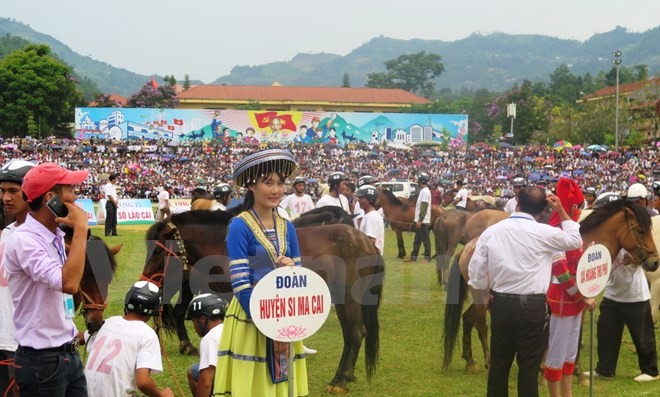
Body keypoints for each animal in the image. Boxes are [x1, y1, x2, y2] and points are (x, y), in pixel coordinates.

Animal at [141, 209, 384, 392]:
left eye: (158, 252)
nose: (146, 280)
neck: (223, 247)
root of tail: (366, 242)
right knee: (351, 335)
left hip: (350, 298)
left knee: (355, 334)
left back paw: (340, 381)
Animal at [444, 201, 660, 372]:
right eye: (641, 230)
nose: (654, 262)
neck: (580, 250)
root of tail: (468, 247)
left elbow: (576, 334)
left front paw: (574, 370)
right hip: (481, 297)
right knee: (481, 326)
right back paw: (487, 361)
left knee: (467, 319)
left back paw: (470, 362)